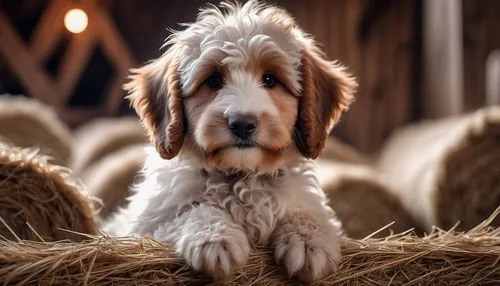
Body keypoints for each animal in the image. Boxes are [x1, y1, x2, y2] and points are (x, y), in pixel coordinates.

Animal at [103, 0, 358, 282]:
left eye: (269, 79)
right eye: (214, 79)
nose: (242, 123)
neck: (240, 174)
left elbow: (306, 212)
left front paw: (309, 240)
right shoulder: (147, 225)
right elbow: (192, 209)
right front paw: (215, 237)